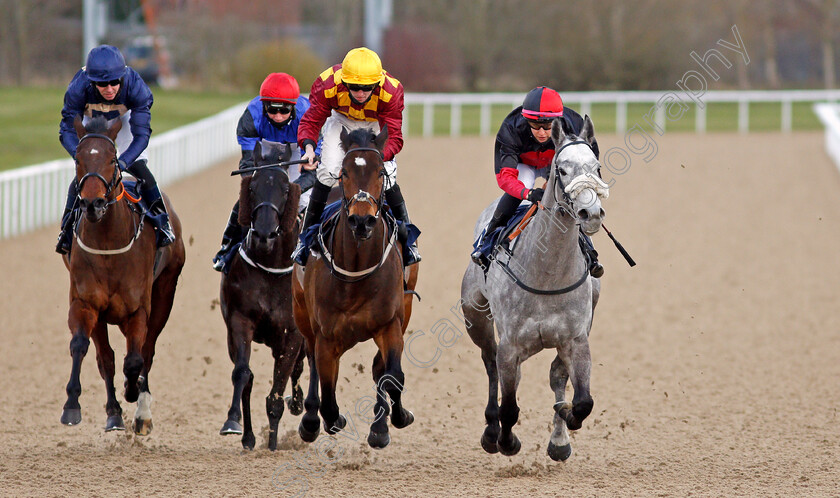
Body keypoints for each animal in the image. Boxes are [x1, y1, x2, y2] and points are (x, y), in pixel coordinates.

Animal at [61, 115, 186, 434]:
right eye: (78, 159)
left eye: (112, 158)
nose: (92, 204)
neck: (109, 244)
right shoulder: (85, 303)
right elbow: (84, 347)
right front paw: (73, 405)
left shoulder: (138, 309)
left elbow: (135, 360)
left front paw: (134, 393)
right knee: (106, 357)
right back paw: (115, 412)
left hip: (165, 292)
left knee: (147, 351)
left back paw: (142, 411)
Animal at [220, 141, 306, 452]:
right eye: (254, 186)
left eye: (285, 189)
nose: (264, 235)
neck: (271, 269)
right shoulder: (239, 321)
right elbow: (243, 375)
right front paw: (235, 425)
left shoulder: (292, 333)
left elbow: (276, 394)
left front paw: (272, 444)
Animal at [292, 126, 420, 450]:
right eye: (345, 173)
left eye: (380, 173)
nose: (362, 220)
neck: (355, 275)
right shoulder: (326, 336)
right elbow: (327, 395)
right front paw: (328, 419)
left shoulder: (390, 324)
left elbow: (393, 375)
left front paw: (393, 420)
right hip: (302, 315)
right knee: (312, 361)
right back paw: (310, 421)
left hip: (404, 310)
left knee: (379, 369)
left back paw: (380, 424)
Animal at [462, 115, 608, 462]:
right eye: (563, 170)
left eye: (596, 167)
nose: (591, 213)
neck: (547, 272)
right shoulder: (510, 345)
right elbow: (509, 406)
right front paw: (506, 441)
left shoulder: (576, 340)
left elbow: (582, 401)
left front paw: (563, 424)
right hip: (475, 317)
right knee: (490, 365)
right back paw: (491, 431)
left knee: (554, 374)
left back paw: (559, 437)